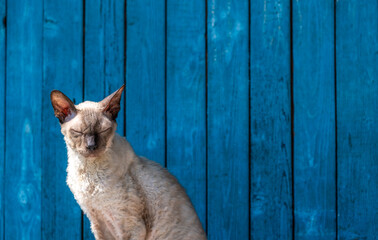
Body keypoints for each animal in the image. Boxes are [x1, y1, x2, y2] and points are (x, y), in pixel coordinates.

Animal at [50, 86, 207, 240]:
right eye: (78, 132)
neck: (87, 169)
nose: (91, 146)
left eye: (103, 131)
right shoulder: (98, 222)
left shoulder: (129, 225)